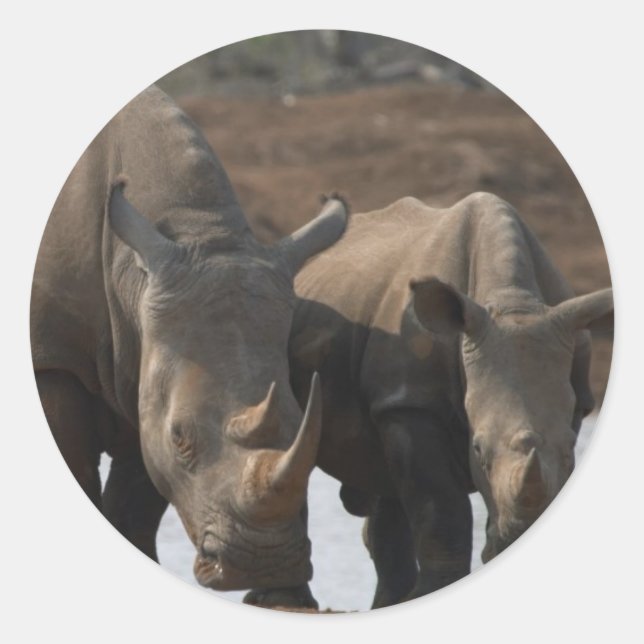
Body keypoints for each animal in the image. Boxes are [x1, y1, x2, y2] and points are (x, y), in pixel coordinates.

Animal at [30, 85, 347, 604]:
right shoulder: (53, 360)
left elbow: (135, 507)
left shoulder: (143, 363)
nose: (263, 563)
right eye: (180, 436)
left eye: (303, 421)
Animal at [287, 192, 612, 608]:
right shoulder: (411, 401)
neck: (513, 301)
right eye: (478, 450)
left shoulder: (575, 399)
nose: (520, 535)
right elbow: (441, 508)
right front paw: (435, 589)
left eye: (573, 450)